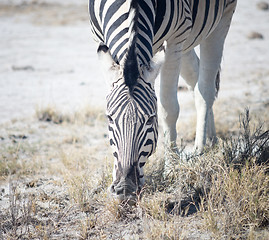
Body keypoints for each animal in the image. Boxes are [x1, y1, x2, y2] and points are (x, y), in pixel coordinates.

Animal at [87, 0, 234, 201]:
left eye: (151, 119)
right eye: (109, 118)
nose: (125, 188)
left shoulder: (175, 39)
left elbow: (169, 109)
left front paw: (171, 168)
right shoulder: (97, 36)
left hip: (220, 19)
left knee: (205, 89)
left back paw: (200, 149)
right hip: (188, 41)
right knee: (195, 77)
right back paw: (212, 140)